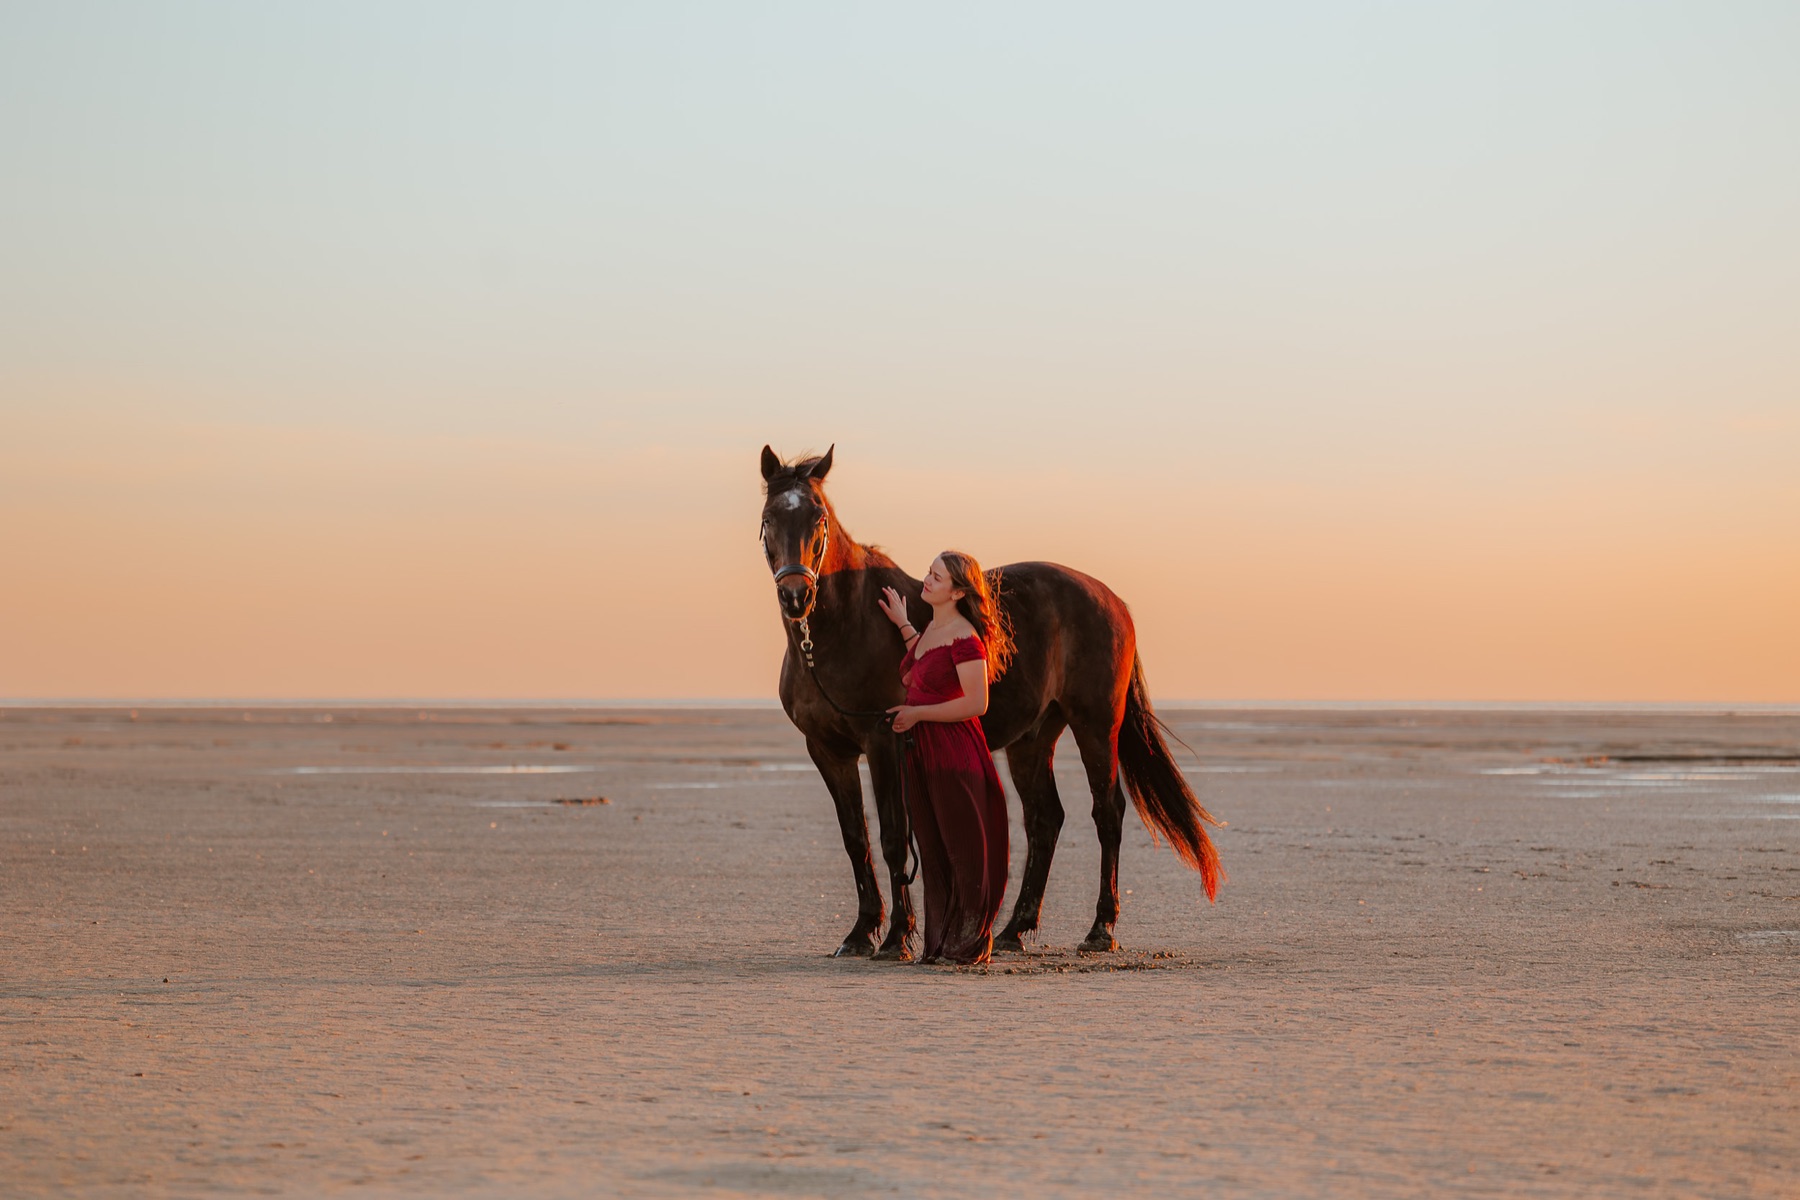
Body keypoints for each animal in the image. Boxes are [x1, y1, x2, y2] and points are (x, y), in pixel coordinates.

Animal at [759, 444, 1223, 959]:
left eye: (818, 518)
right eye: (769, 518)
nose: (796, 595)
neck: (839, 631)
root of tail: (1112, 599)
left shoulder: (884, 739)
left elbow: (894, 835)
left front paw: (897, 937)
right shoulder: (827, 752)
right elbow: (855, 838)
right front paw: (861, 933)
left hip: (1097, 726)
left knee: (1108, 812)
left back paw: (1100, 929)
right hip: (1033, 739)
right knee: (1045, 820)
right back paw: (1012, 930)